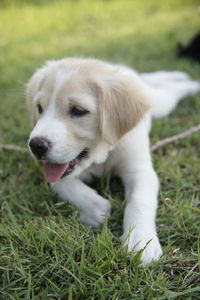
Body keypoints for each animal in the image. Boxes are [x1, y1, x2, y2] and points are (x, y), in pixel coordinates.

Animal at [27, 58, 200, 264]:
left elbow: (139, 200)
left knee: (172, 90)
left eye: (78, 110)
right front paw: (96, 208)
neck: (103, 155)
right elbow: (66, 186)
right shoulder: (56, 173)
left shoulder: (140, 171)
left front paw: (140, 242)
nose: (36, 145)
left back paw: (190, 83)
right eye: (39, 108)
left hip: (161, 103)